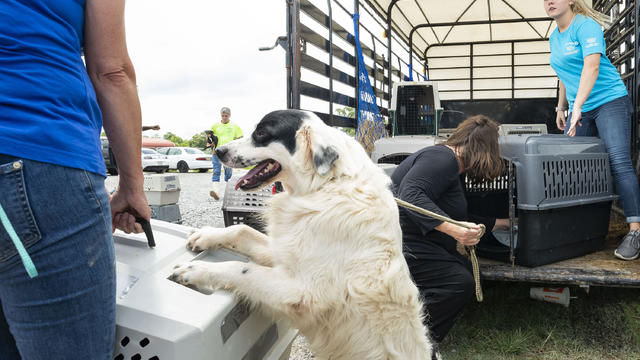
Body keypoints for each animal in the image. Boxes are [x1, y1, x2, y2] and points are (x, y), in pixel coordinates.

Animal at [170, 109, 440, 360]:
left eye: (261, 133)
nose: (218, 150)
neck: (324, 185)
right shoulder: (282, 253)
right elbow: (241, 229)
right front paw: (205, 235)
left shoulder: (301, 291)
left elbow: (241, 268)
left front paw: (195, 270)